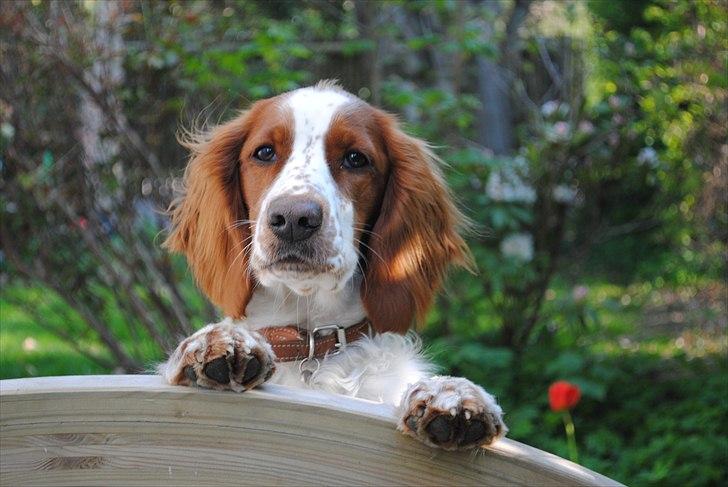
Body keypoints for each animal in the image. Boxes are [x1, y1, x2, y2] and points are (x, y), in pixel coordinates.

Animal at [158, 82, 506, 452]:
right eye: (264, 152)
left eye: (356, 159)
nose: (294, 219)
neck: (309, 341)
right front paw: (215, 343)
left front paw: (450, 392)